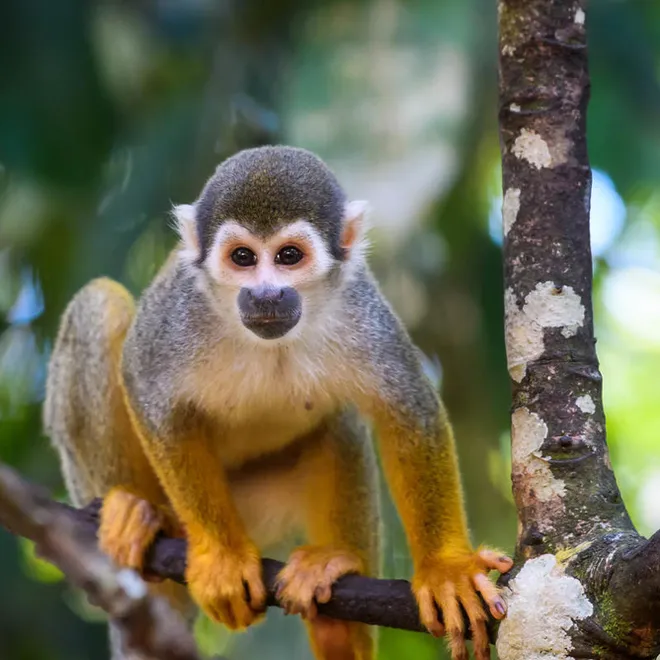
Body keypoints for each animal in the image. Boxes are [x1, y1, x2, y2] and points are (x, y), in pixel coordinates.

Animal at [44, 145, 512, 660]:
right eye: (243, 258)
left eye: (289, 256)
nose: (265, 294)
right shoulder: (180, 313)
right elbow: (146, 388)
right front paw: (223, 557)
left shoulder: (359, 307)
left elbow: (406, 410)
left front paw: (446, 570)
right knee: (98, 304)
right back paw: (139, 514)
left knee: (339, 420)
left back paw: (336, 609)